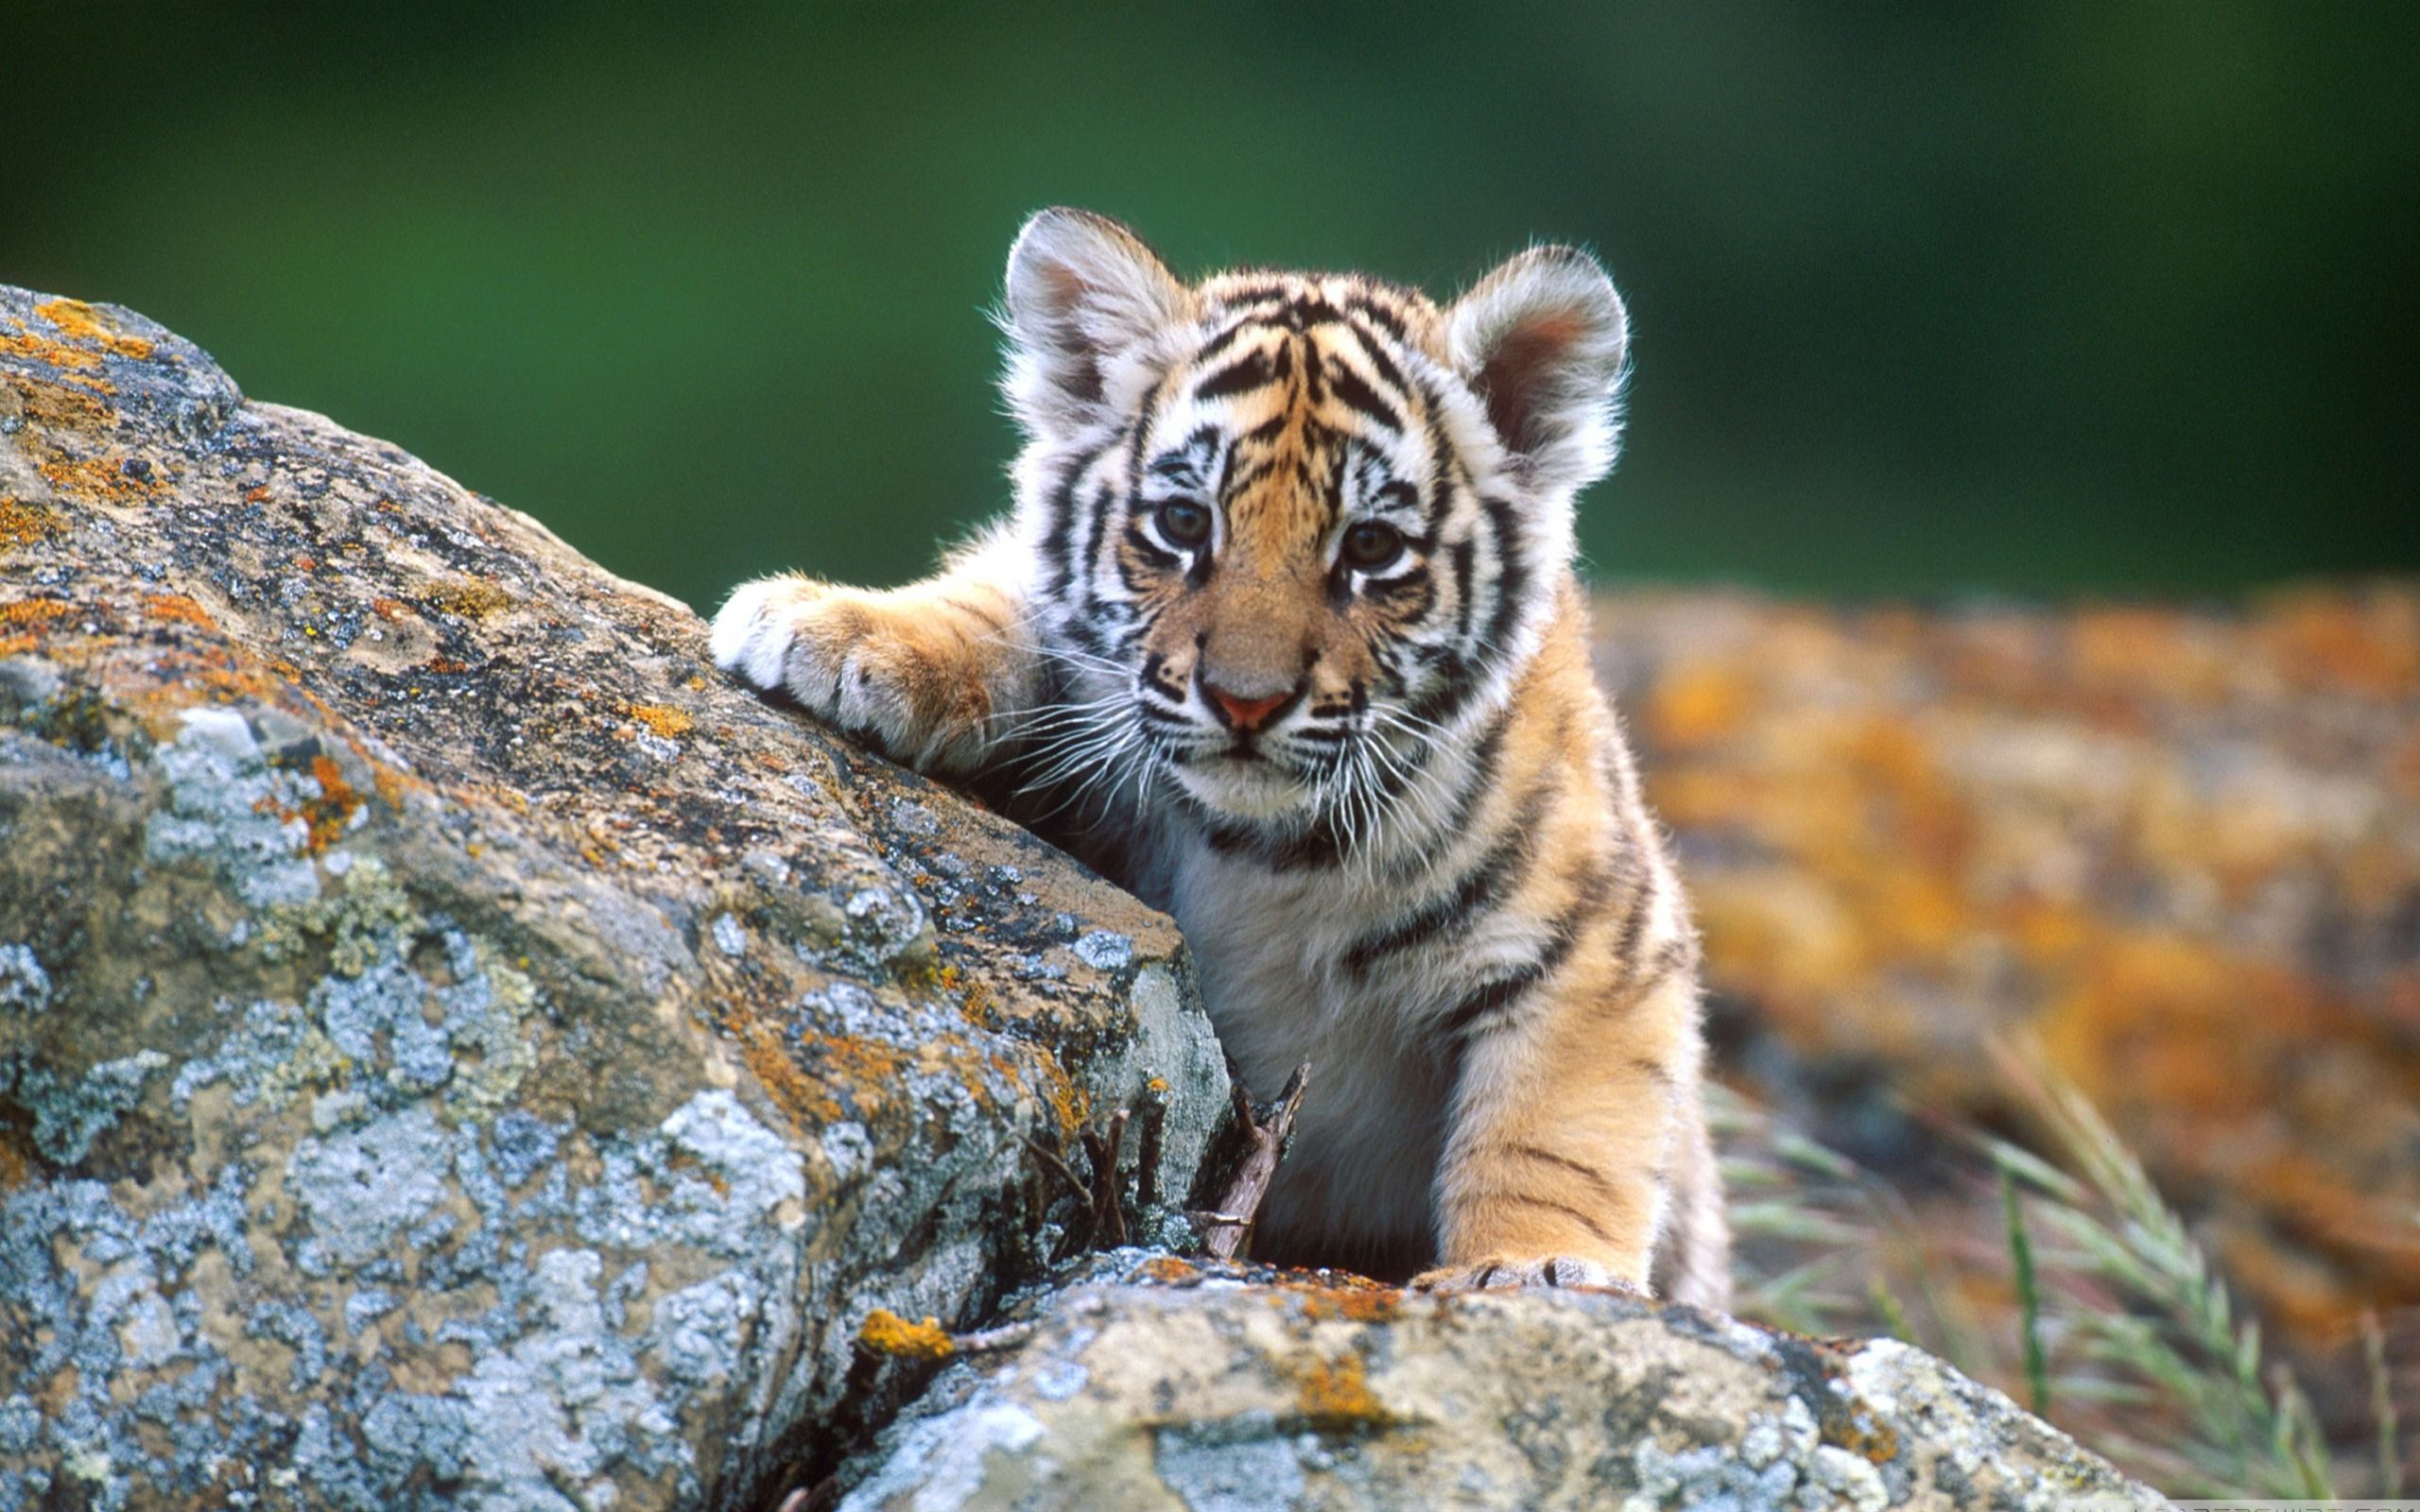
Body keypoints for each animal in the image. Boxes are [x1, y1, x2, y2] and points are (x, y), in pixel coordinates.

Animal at [710, 208, 1729, 1306]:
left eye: (1371, 548)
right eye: (1183, 522)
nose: (1246, 700)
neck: (1266, 853)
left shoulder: (1601, 946)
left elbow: (1553, 1135)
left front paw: (1535, 1268)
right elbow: (1000, 603)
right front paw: (832, 629)